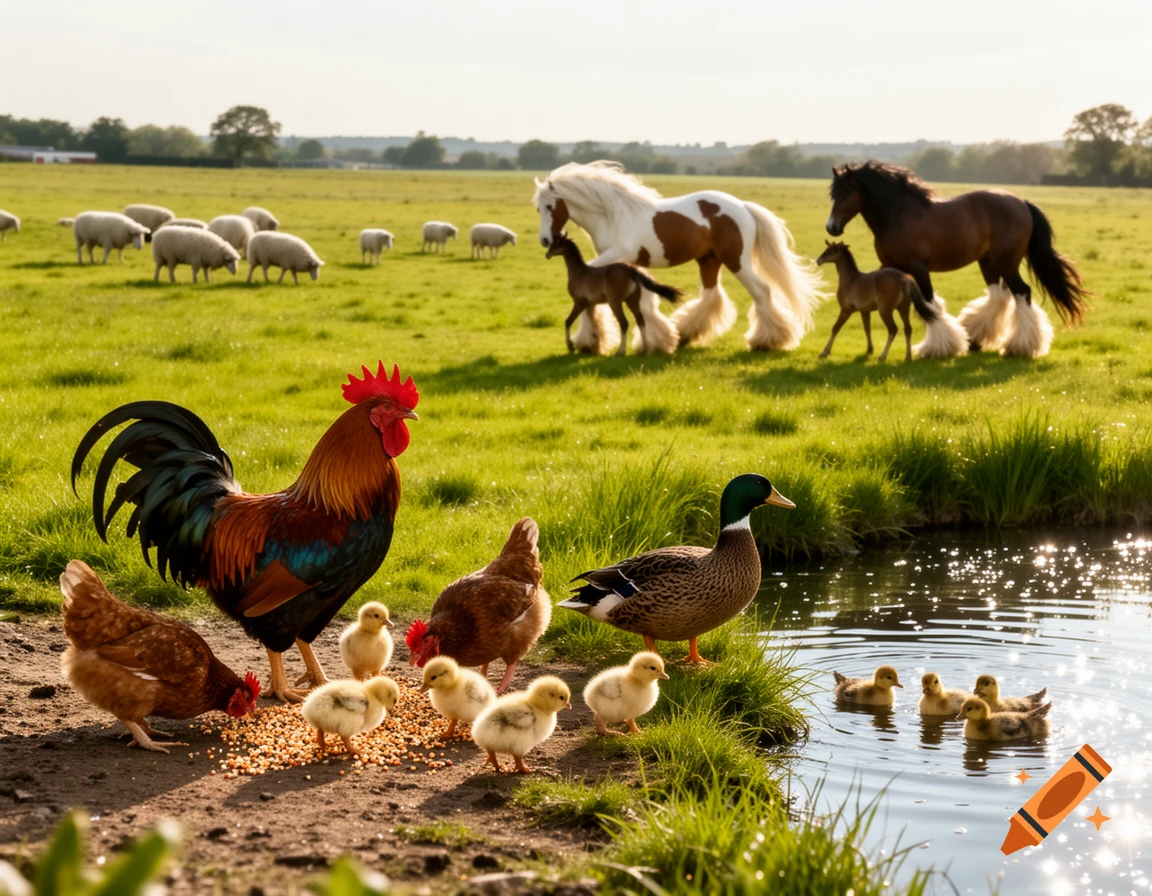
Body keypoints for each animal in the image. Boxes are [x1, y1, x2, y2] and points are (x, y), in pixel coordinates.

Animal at [546, 232, 681, 356]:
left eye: (556, 244)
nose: (547, 254)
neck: (579, 272)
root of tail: (631, 269)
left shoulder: (579, 303)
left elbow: (568, 321)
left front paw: (571, 346)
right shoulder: (591, 304)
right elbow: (593, 322)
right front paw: (594, 346)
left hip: (615, 302)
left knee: (624, 323)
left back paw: (620, 351)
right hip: (632, 300)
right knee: (640, 321)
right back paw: (646, 350)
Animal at [815, 241, 968, 361]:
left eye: (831, 250)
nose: (818, 260)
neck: (850, 279)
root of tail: (904, 278)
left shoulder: (846, 310)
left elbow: (835, 328)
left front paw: (824, 352)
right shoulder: (865, 311)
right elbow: (867, 328)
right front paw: (869, 350)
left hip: (885, 311)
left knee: (893, 329)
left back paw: (883, 356)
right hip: (903, 308)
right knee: (908, 329)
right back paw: (908, 356)